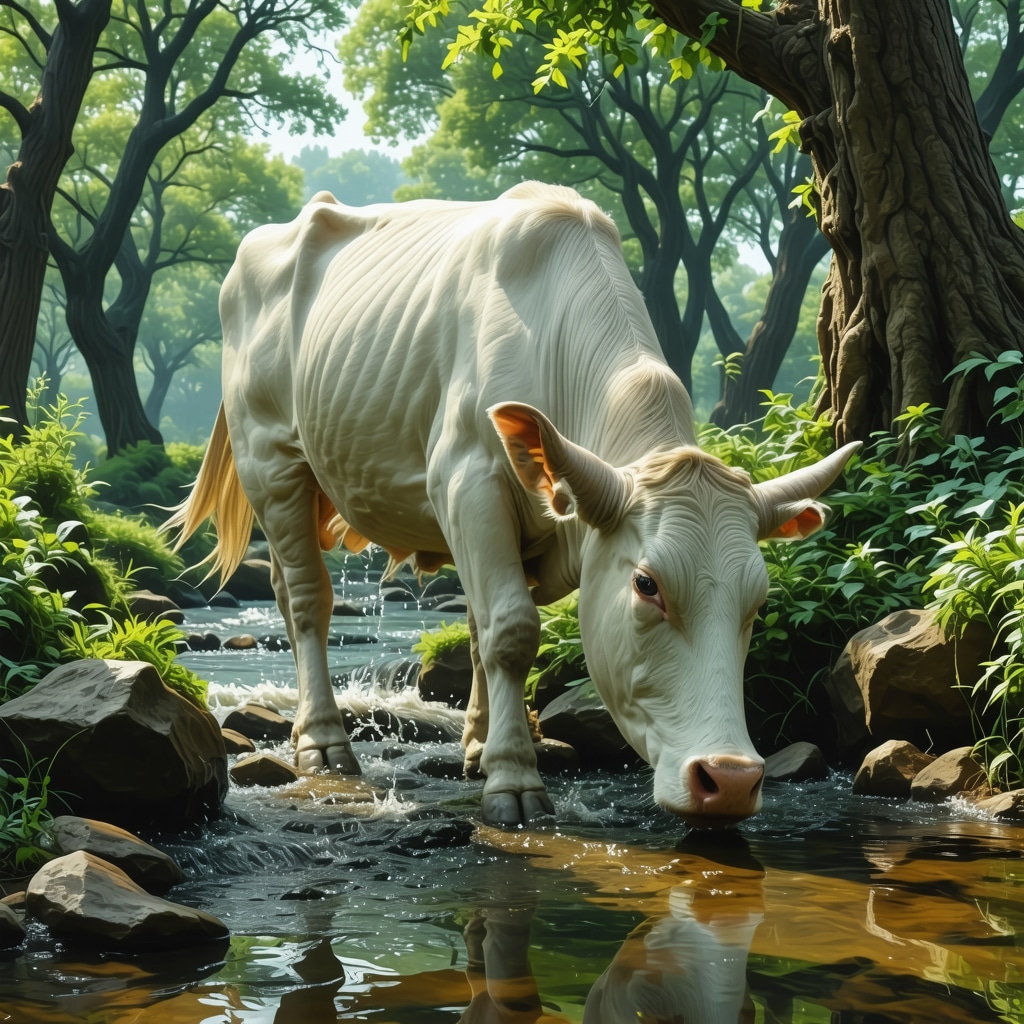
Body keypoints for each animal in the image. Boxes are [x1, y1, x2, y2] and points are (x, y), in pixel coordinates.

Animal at [166, 182, 858, 829]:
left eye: (759, 598)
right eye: (647, 585)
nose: (732, 779)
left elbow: (482, 628)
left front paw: (479, 746)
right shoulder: (466, 479)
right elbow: (512, 630)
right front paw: (513, 779)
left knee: (288, 590)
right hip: (270, 454)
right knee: (310, 597)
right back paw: (322, 743)